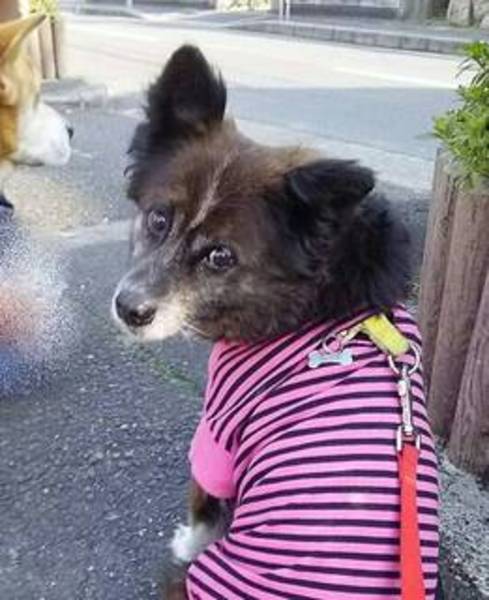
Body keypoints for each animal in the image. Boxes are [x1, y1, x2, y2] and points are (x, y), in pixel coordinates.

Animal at [113, 46, 439, 599]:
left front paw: (187, 539)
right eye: (158, 219)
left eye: (220, 256)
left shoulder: (218, 431)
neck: (315, 298)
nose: (128, 309)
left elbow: (202, 500)